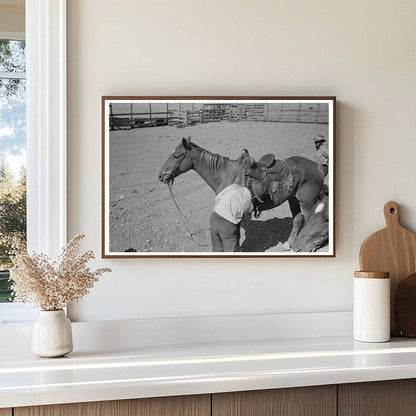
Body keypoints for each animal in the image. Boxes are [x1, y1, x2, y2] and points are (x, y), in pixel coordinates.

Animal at [159, 137, 324, 247]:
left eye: (176, 155)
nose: (161, 176)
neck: (225, 174)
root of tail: (317, 166)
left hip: (308, 203)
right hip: (293, 199)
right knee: (297, 220)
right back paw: (290, 243)